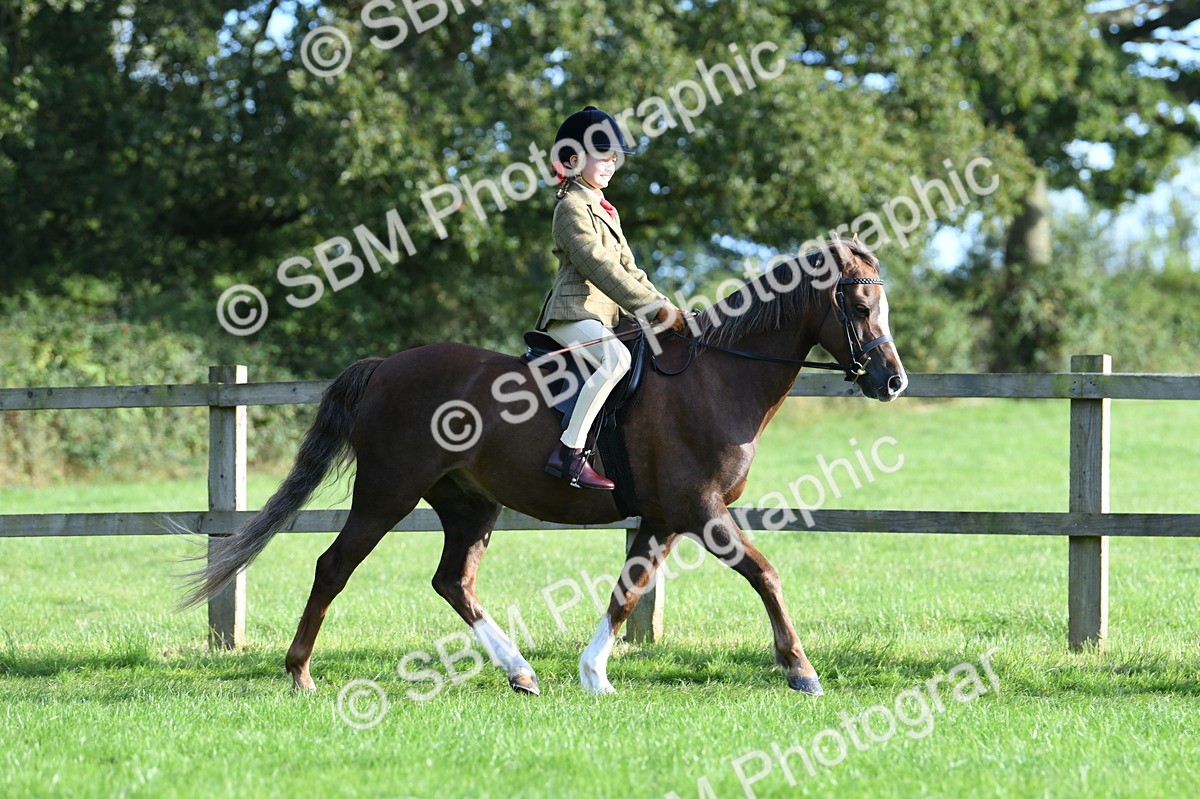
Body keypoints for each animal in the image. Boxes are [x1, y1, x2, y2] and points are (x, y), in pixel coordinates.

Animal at [181, 237, 907, 697]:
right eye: (860, 306)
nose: (893, 382)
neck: (715, 378)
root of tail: (386, 366)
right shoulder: (701, 510)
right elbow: (765, 574)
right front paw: (801, 669)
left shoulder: (664, 518)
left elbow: (628, 591)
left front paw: (594, 675)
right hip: (387, 493)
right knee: (334, 567)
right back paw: (300, 673)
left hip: (469, 503)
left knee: (453, 581)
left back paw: (520, 671)